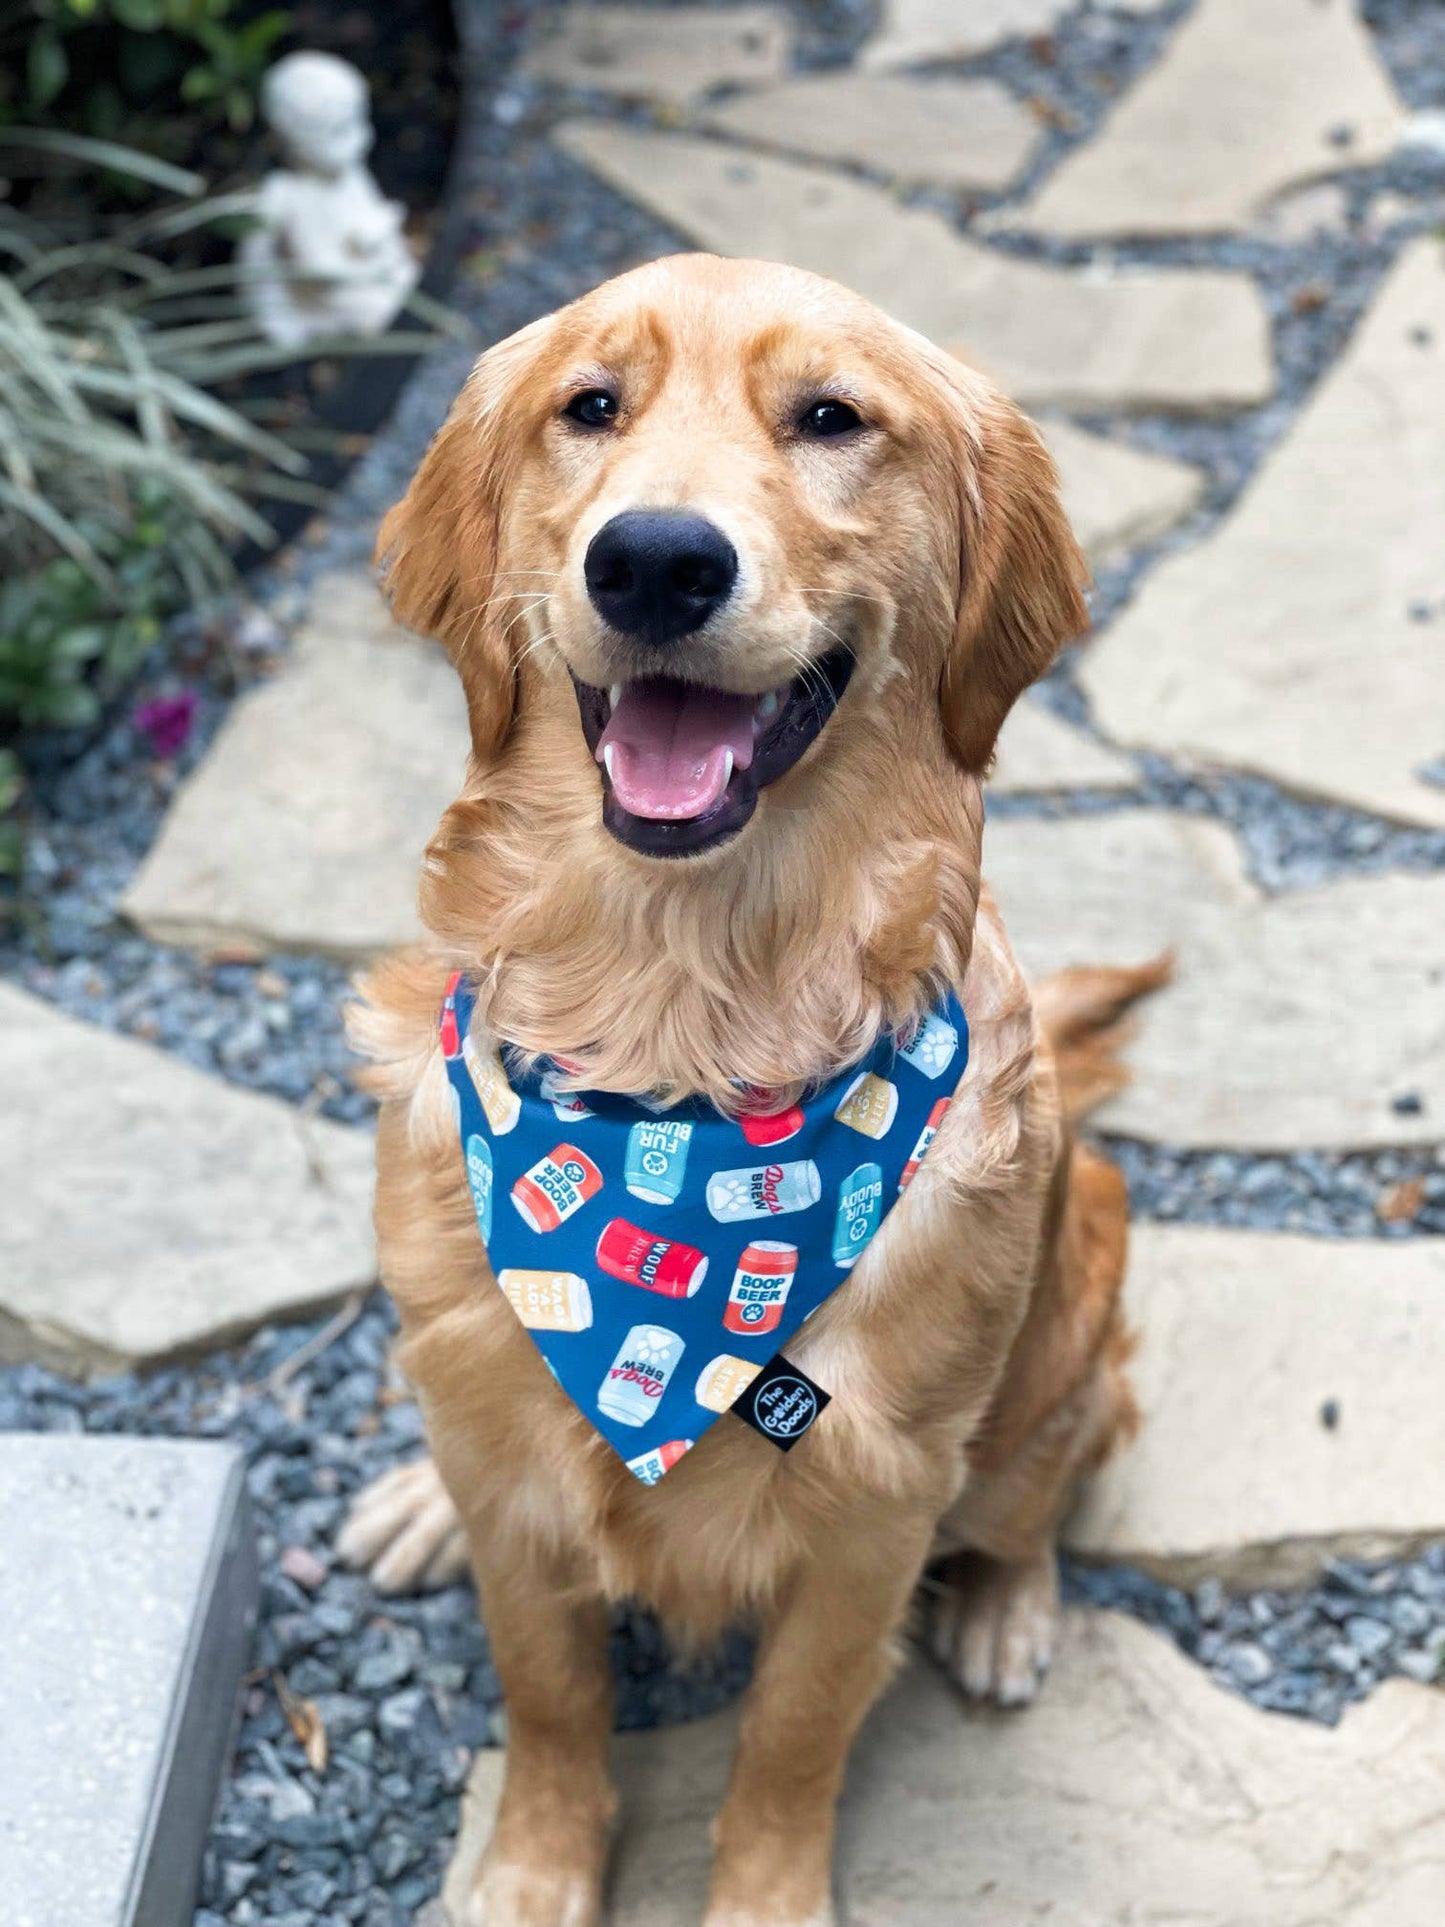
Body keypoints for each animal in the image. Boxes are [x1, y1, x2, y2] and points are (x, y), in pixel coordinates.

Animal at [337, 256, 1156, 1927]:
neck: (682, 1049)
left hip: (1072, 1301)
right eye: (589, 405)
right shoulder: (521, 1490)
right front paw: (529, 1873)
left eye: (831, 418)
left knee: (1055, 1464)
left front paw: (763, 1892)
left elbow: (789, 1737)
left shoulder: (871, 1511)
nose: (655, 560)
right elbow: (548, 1696)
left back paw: (1007, 1607)